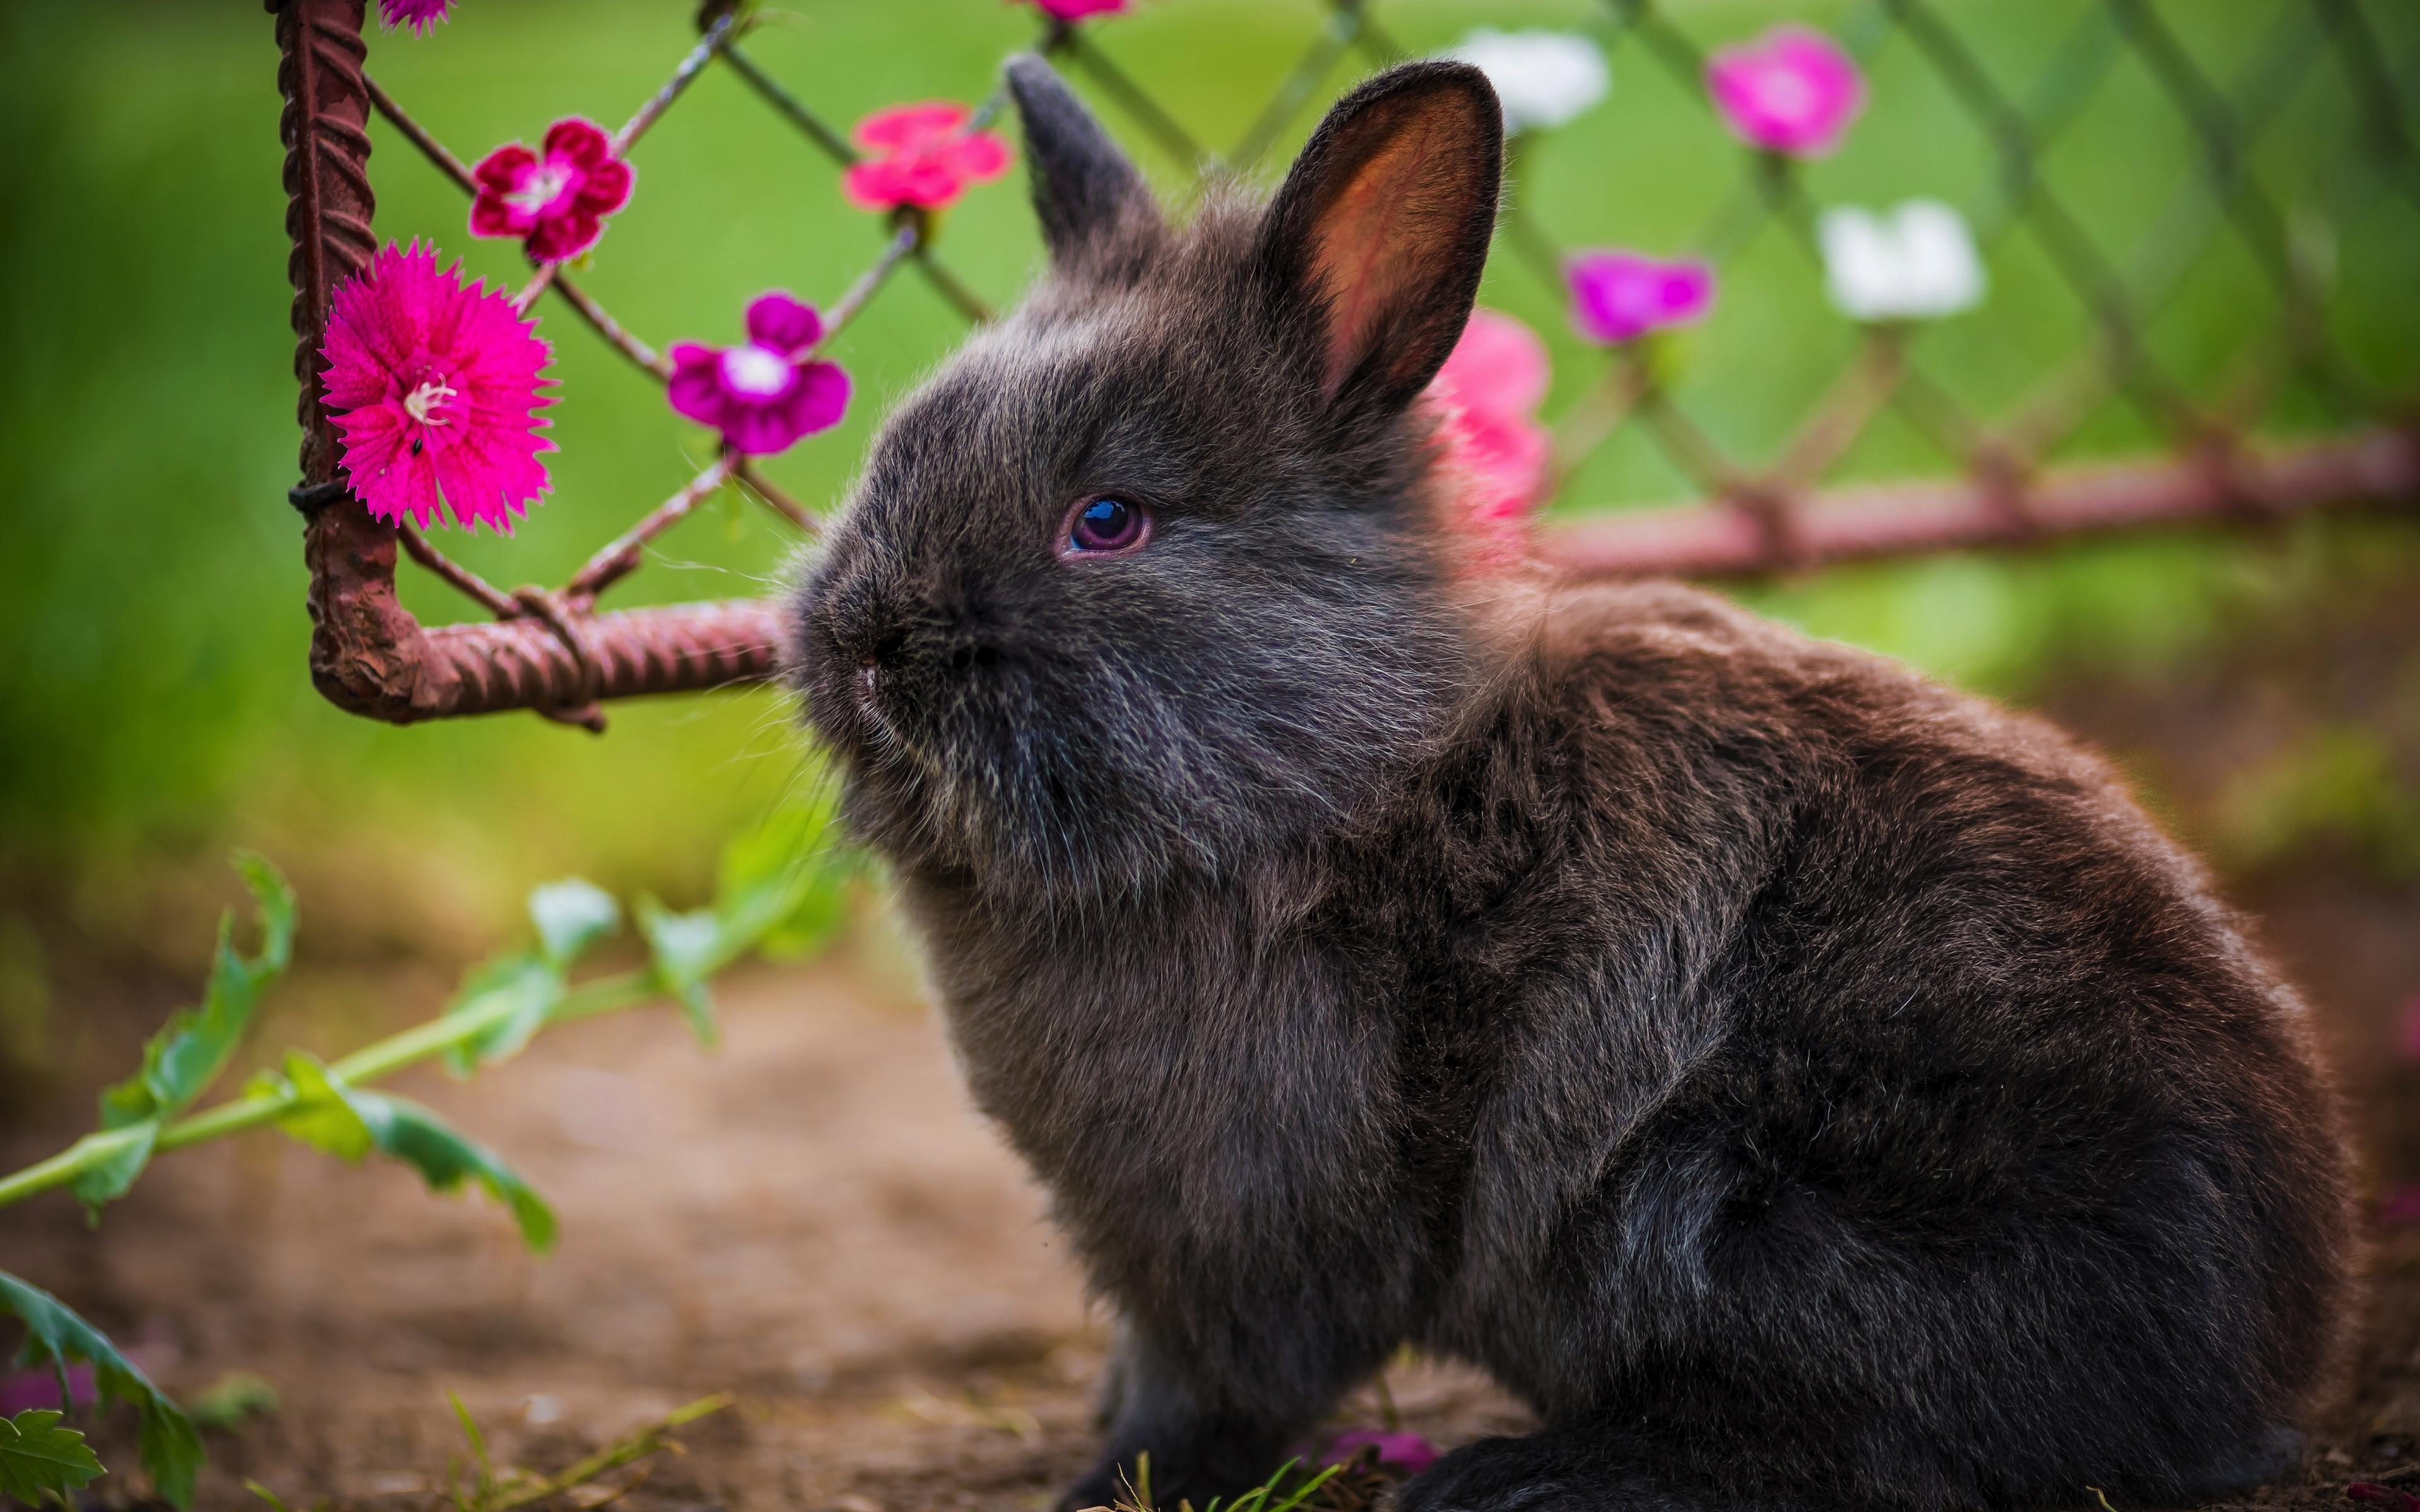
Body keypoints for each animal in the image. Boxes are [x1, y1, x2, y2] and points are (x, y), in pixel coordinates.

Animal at [788, 52, 2357, 1512]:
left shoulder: (1239, 1243)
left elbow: (1210, 1399)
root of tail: (2250, 1363)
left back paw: (1517, 1476)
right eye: (895, 450)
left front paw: (1106, 1483)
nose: (868, 642)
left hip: (1732, 1216)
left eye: (1108, 522)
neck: (1331, 786)